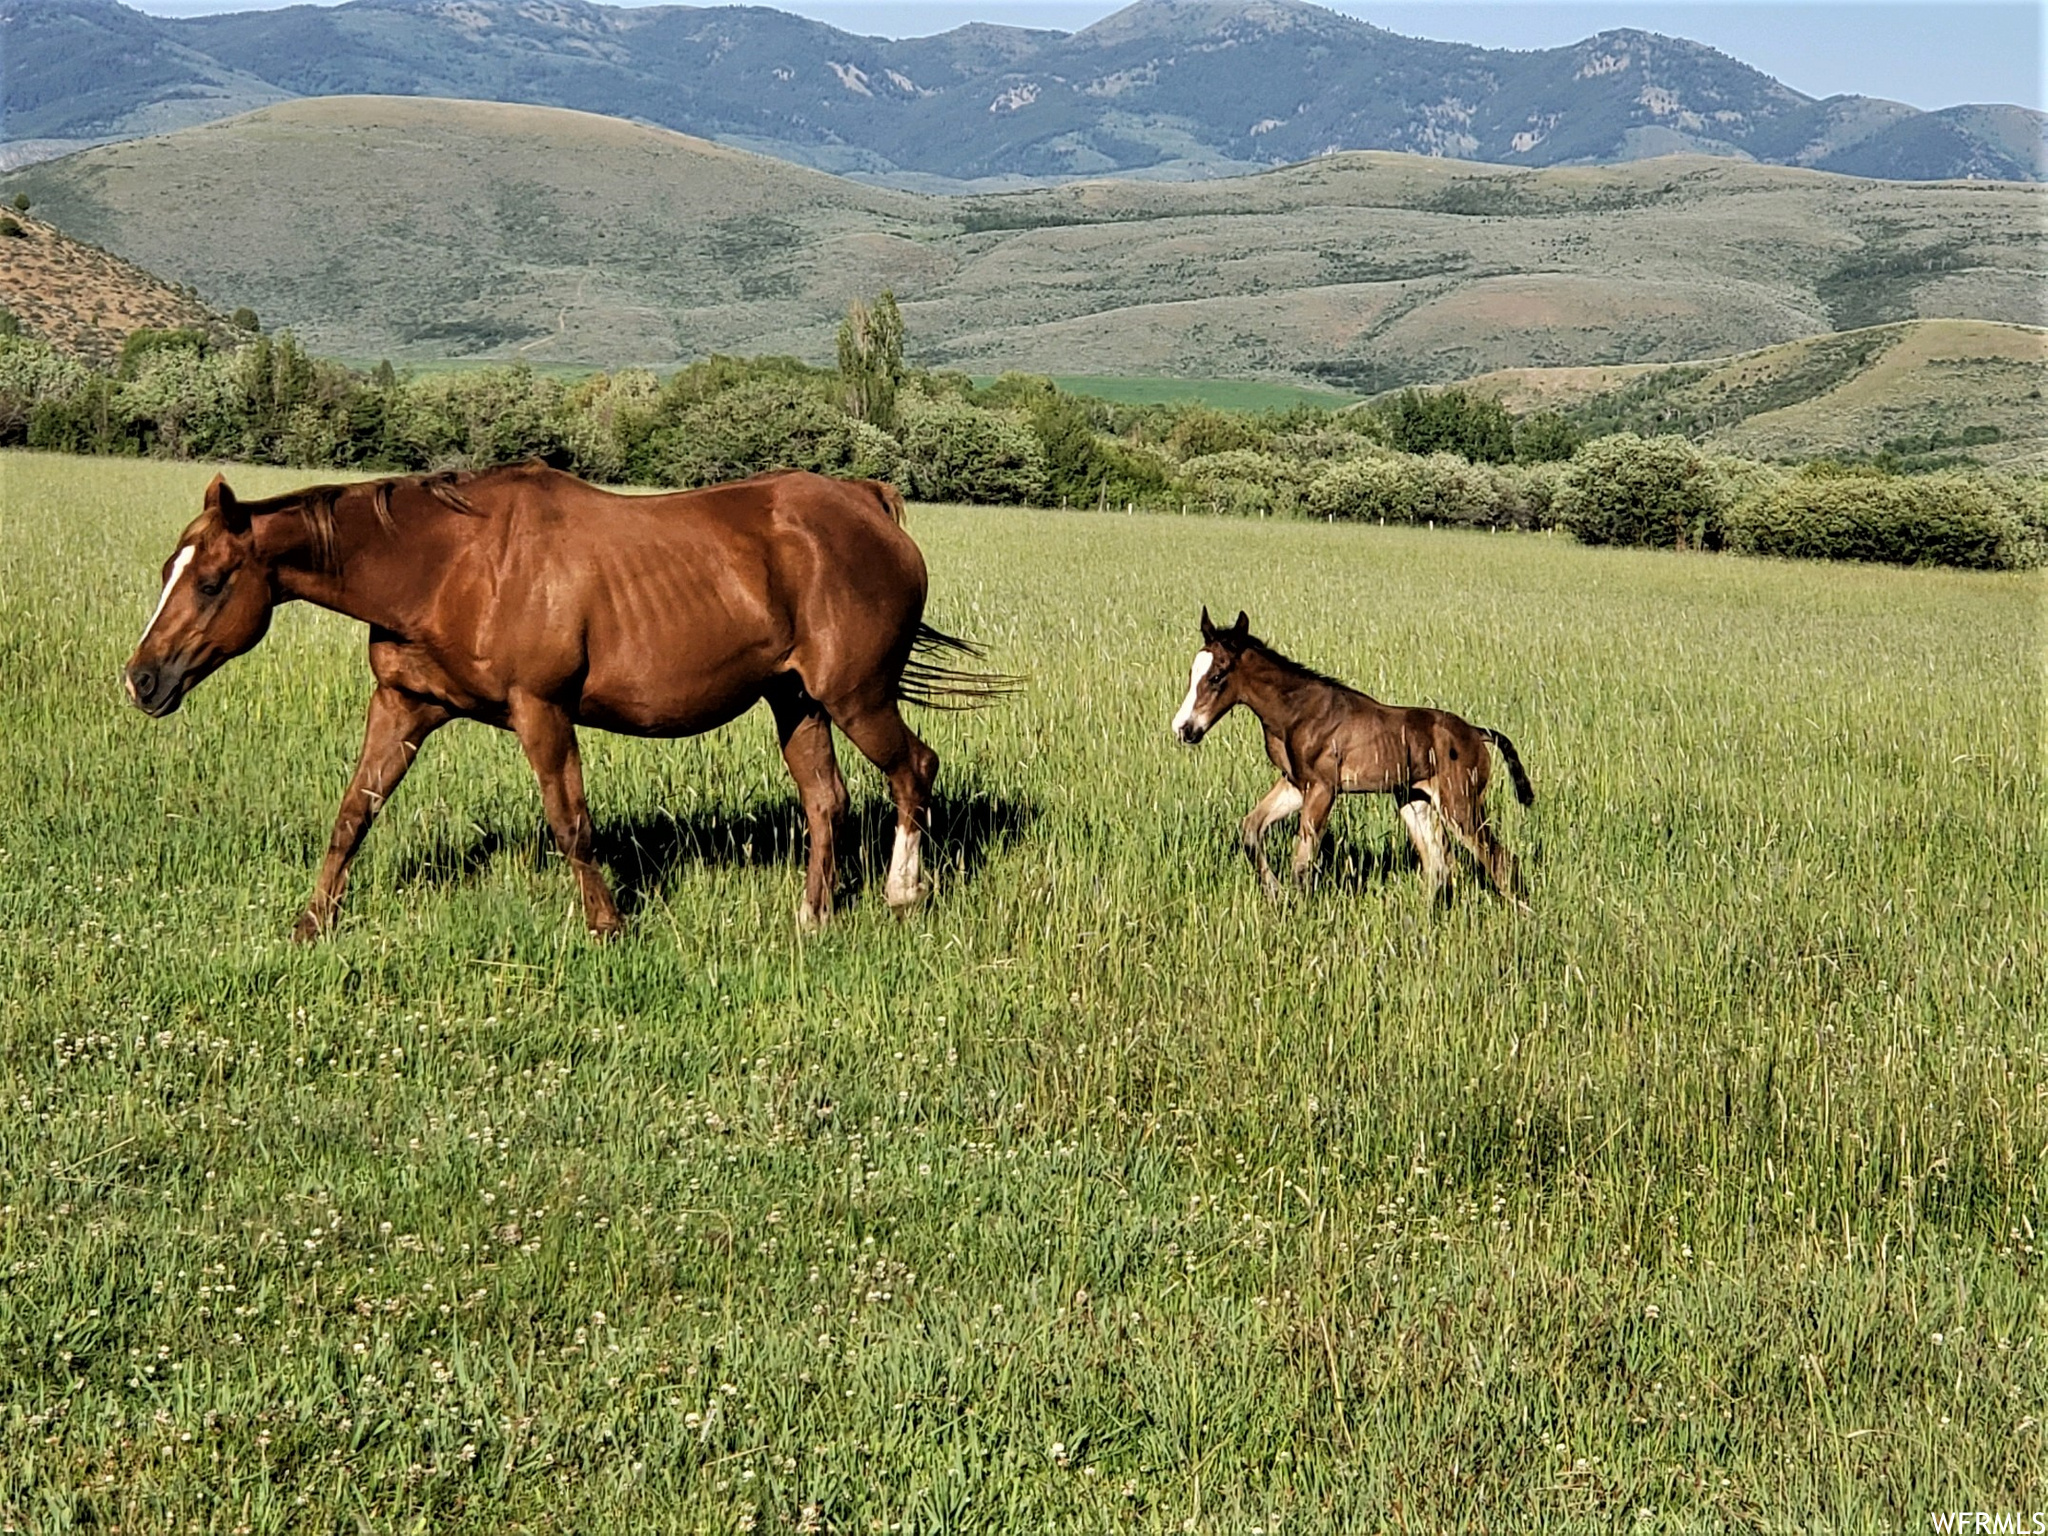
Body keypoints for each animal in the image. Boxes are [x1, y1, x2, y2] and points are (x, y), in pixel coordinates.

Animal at [119, 460, 999, 937]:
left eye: (211, 580)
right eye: (166, 569)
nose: (142, 679)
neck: (449, 566)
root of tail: (868, 503)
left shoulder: (540, 710)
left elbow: (571, 823)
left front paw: (608, 924)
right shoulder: (402, 706)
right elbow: (352, 815)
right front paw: (312, 923)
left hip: (857, 696)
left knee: (914, 771)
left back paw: (903, 893)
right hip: (797, 702)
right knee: (827, 801)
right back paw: (812, 917)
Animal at [1171, 610, 1540, 901]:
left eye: (1217, 676)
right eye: (1191, 675)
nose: (1184, 728)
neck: (1297, 712)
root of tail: (1476, 733)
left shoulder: (1323, 788)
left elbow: (1301, 863)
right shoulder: (1295, 784)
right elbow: (1251, 829)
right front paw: (1275, 895)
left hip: (1460, 805)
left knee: (1501, 861)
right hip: (1414, 800)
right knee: (1439, 866)